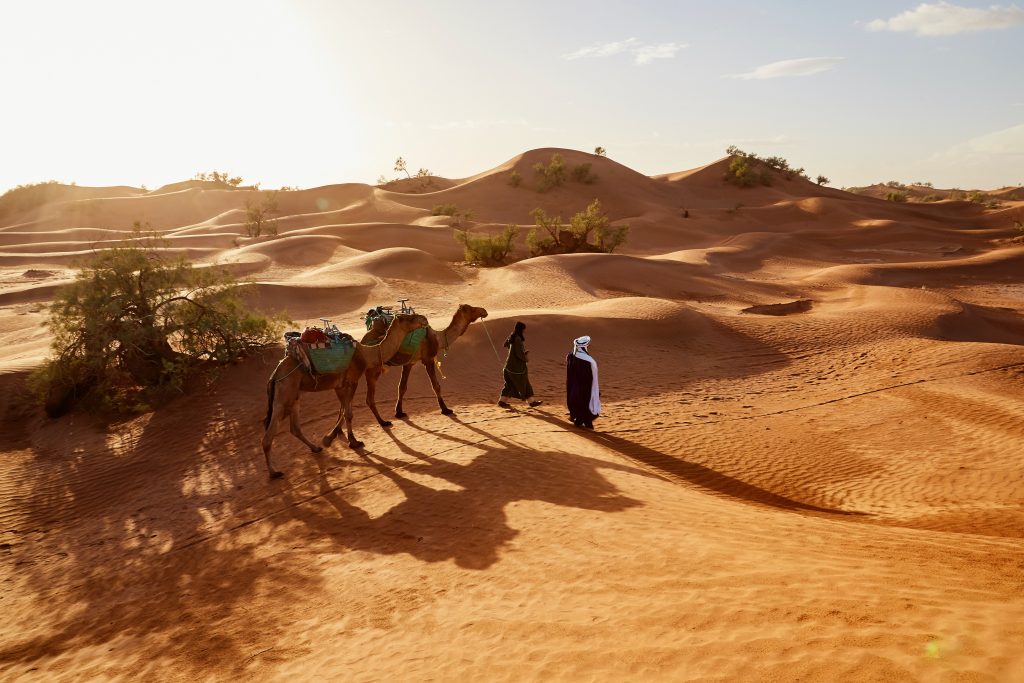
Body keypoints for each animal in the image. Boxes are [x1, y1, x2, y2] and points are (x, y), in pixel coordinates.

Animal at [264, 313, 428, 479]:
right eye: (409, 318)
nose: (424, 319)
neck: (365, 354)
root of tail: (275, 374)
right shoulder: (351, 381)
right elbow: (348, 413)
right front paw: (353, 442)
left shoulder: (340, 385)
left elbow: (343, 410)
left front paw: (331, 437)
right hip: (284, 394)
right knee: (269, 434)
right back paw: (274, 472)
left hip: (295, 395)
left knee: (295, 427)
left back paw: (316, 448)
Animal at [358, 305, 489, 428]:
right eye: (471, 309)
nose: (484, 310)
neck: (438, 337)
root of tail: (363, 342)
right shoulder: (428, 359)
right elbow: (436, 386)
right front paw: (445, 409)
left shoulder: (409, 363)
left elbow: (402, 387)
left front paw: (399, 412)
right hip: (373, 369)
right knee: (369, 398)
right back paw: (383, 422)